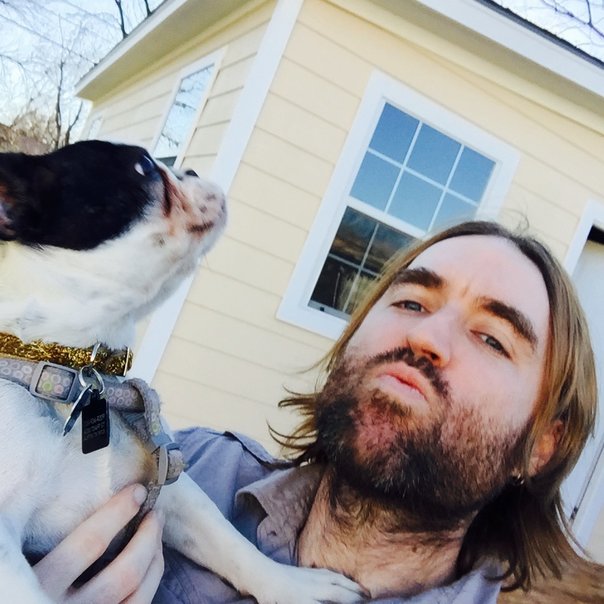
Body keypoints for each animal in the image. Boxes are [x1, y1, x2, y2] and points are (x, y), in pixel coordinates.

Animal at [0, 140, 364, 603]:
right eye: (143, 167)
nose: (191, 169)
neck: (76, 374)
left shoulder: (170, 486)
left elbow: (230, 544)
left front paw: (293, 586)